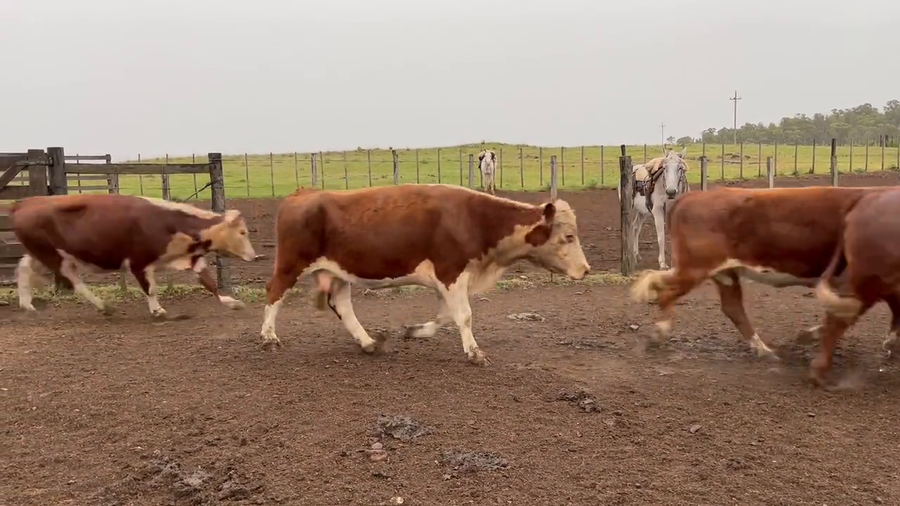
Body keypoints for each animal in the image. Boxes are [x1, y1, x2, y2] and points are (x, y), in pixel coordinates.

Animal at [10, 194, 257, 317]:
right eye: (242, 232)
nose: (254, 257)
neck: (167, 223)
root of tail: (24, 203)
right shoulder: (139, 263)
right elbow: (151, 289)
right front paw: (157, 310)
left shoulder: (192, 259)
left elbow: (210, 284)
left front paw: (233, 303)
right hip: (56, 257)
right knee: (75, 282)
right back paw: (103, 306)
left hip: (42, 253)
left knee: (23, 268)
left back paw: (26, 304)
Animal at [259, 184, 591, 365]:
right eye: (569, 236)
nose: (586, 269)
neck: (475, 219)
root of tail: (302, 194)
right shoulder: (451, 272)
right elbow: (464, 316)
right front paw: (475, 353)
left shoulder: (448, 280)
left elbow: (445, 317)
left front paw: (414, 330)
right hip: (290, 263)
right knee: (274, 293)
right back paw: (268, 337)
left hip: (338, 270)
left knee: (341, 305)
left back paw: (368, 342)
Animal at [628, 185, 890, 361]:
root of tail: (689, 198)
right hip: (695, 267)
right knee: (663, 287)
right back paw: (659, 333)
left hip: (723, 271)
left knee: (732, 307)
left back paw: (763, 349)